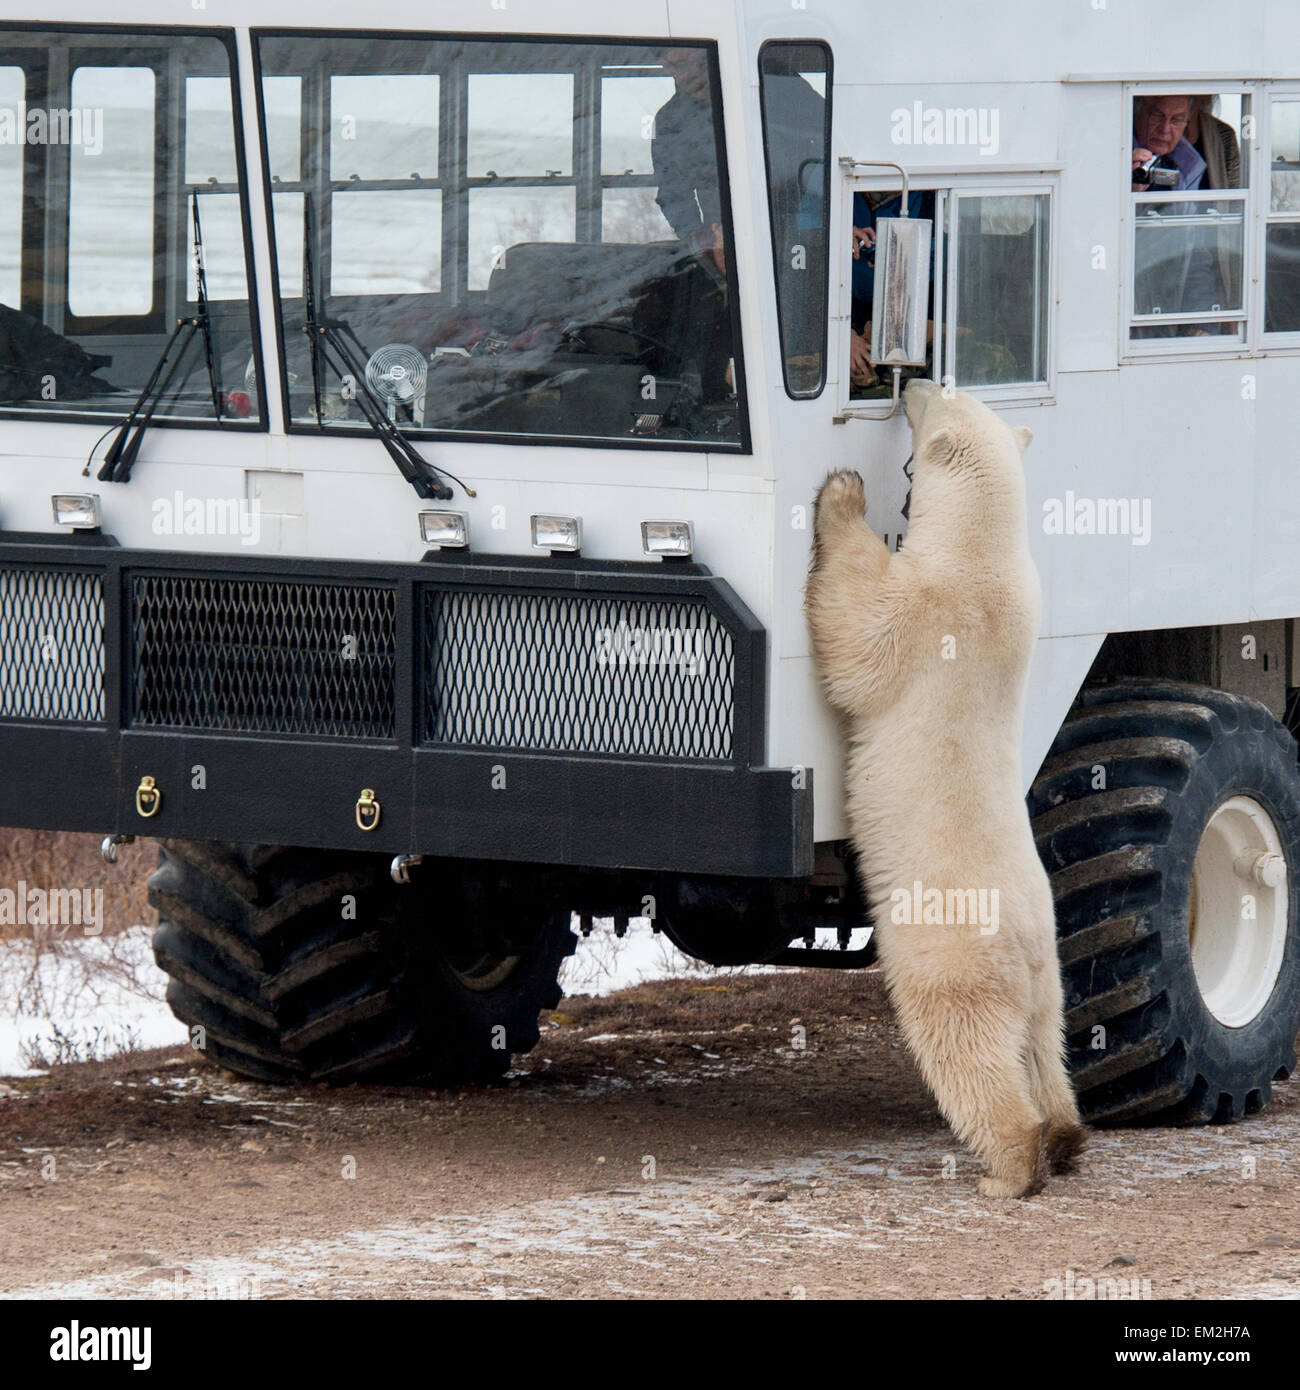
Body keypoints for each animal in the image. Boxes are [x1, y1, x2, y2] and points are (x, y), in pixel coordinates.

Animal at [806, 378, 1084, 1195]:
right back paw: (1065, 1135)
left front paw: (842, 491)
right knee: (1044, 1046)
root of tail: (1026, 948)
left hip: (956, 954)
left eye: (940, 396)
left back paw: (1010, 1166)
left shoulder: (929, 610)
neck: (986, 553)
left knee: (968, 1049)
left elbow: (856, 628)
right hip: (1049, 977)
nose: (914, 381)